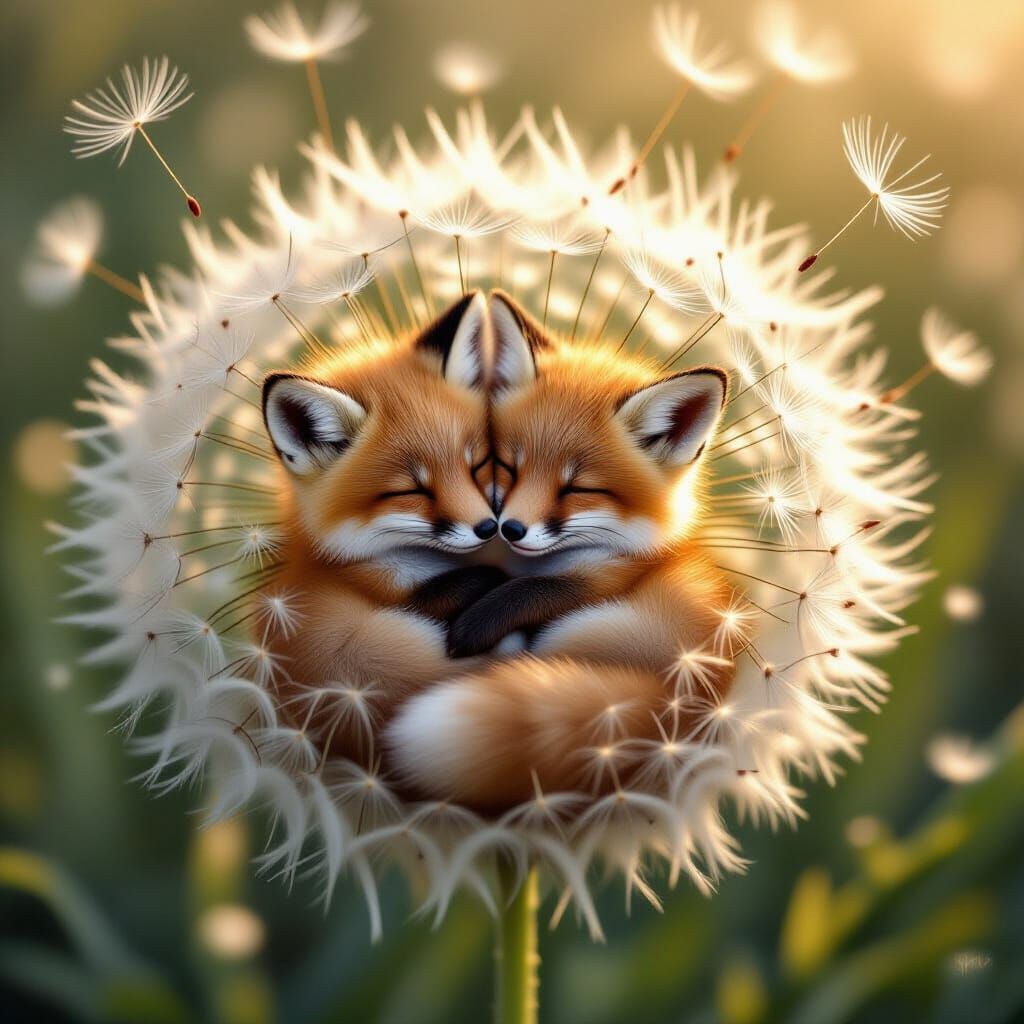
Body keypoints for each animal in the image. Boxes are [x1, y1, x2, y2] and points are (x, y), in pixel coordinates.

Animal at [387, 291, 738, 810]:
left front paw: (471, 626)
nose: (509, 529)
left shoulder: (604, 577)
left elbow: (536, 589)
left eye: (578, 488)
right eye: (507, 467)